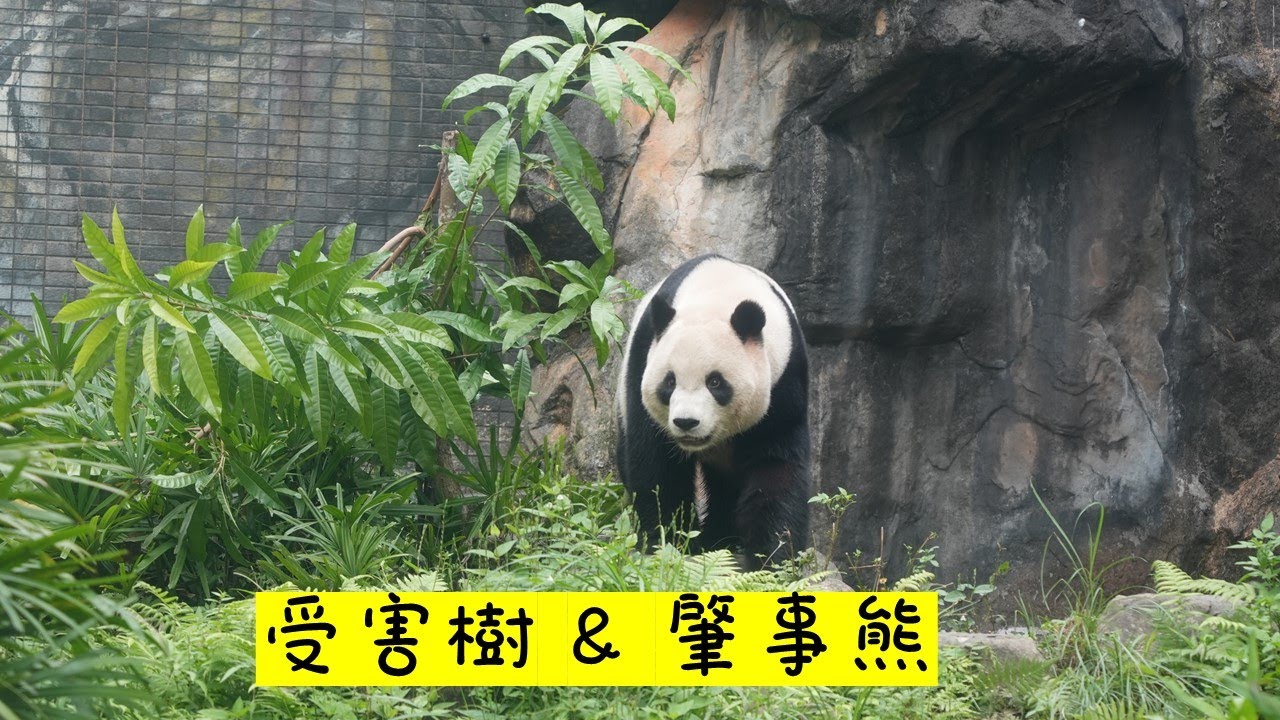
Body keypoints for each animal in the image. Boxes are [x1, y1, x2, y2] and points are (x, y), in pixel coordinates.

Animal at [616, 254, 810, 568]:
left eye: (715, 382)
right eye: (670, 381)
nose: (686, 422)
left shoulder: (784, 379)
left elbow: (776, 466)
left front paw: (772, 556)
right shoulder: (643, 359)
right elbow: (656, 462)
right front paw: (668, 538)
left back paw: (720, 538)